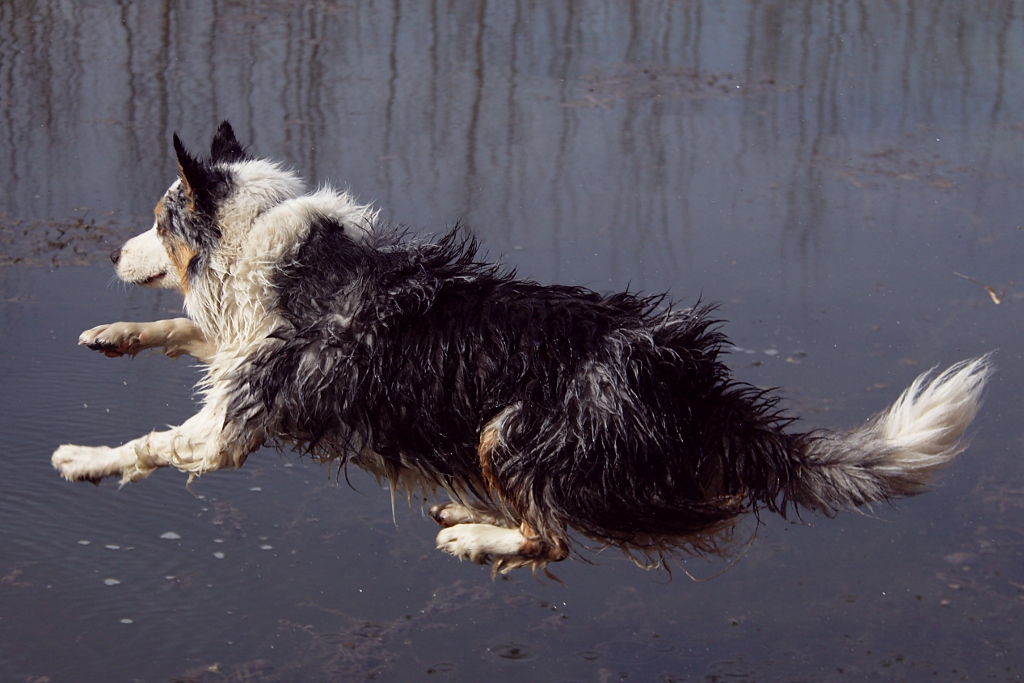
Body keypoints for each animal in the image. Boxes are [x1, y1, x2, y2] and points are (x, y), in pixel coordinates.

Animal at [54, 122, 991, 573]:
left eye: (156, 219)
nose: (111, 256)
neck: (272, 251)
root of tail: (701, 395)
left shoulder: (229, 427)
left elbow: (150, 444)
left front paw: (81, 459)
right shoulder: (233, 347)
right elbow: (188, 329)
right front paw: (111, 334)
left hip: (513, 428)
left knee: (555, 537)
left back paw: (475, 536)